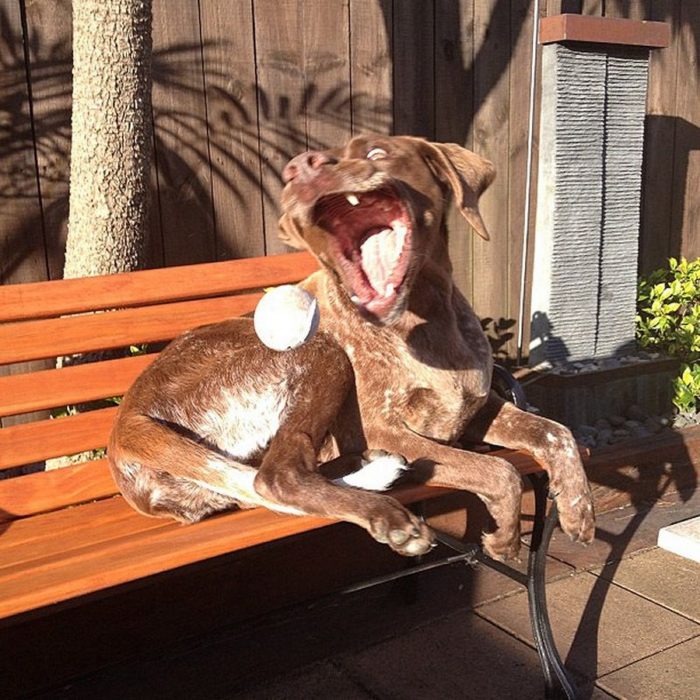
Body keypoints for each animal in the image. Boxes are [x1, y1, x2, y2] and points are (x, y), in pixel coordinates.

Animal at [106, 135, 592, 556]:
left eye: (378, 151)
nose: (301, 167)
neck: (430, 322)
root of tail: (126, 428)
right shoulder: (385, 427)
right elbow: (500, 470)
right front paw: (506, 539)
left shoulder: (476, 409)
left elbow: (556, 431)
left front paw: (578, 509)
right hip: (320, 352)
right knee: (277, 476)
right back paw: (387, 516)